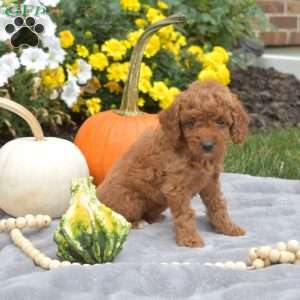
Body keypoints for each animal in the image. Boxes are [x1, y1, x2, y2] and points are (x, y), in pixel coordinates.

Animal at [97, 79, 250, 246]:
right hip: (128, 199)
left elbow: (217, 204)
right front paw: (189, 239)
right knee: (119, 220)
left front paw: (228, 227)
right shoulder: (176, 187)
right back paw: (138, 223)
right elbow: (185, 214)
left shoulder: (211, 181)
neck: (195, 155)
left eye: (221, 122)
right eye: (191, 123)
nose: (207, 145)